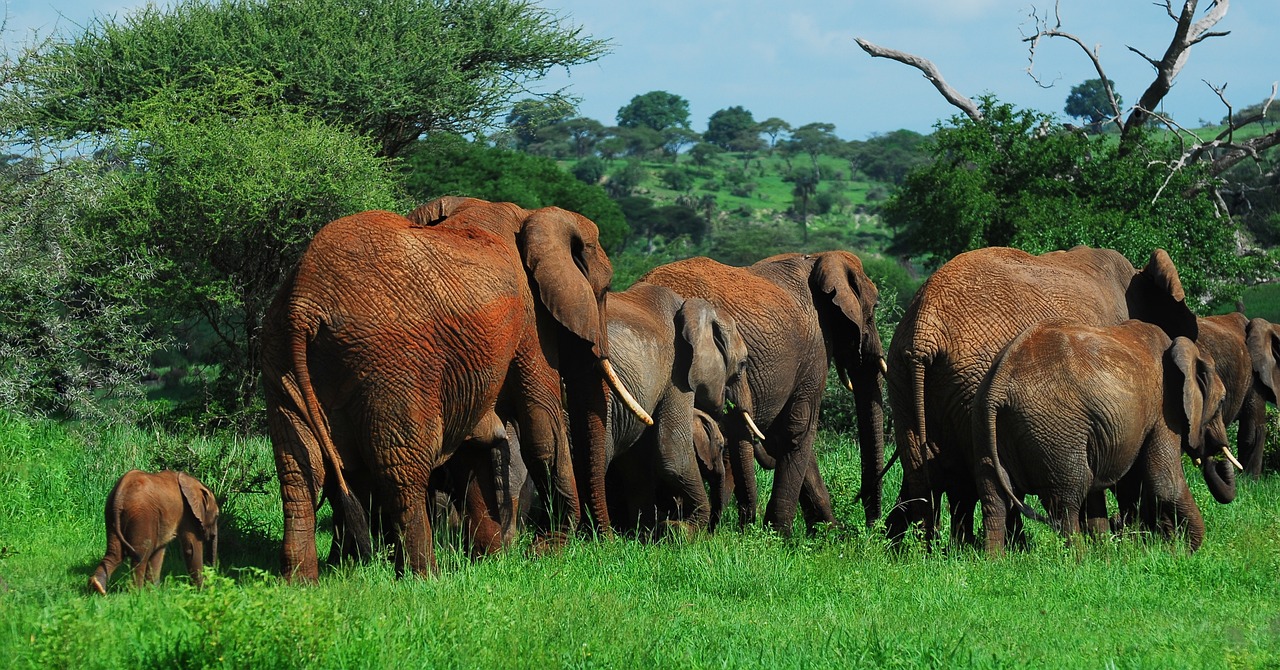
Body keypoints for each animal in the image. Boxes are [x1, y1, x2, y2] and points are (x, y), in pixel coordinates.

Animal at [89, 468, 220, 594]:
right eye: (217, 516)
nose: (213, 572)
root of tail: (119, 496)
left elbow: (159, 551)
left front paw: (154, 592)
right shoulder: (188, 514)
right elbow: (191, 549)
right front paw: (202, 591)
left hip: (110, 513)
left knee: (115, 553)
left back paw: (98, 587)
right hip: (142, 516)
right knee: (141, 554)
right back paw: (136, 593)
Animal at [257, 197, 650, 579]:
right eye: (604, 291)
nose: (608, 544)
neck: (529, 216)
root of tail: (304, 304)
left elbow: (474, 443)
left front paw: (492, 560)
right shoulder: (529, 322)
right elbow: (542, 426)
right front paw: (548, 552)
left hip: (279, 360)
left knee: (298, 471)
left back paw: (301, 582)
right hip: (393, 365)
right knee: (403, 470)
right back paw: (424, 578)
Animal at [599, 283, 747, 535]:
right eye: (744, 364)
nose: (713, 531)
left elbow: (636, 463)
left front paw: (645, 533)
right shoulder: (678, 370)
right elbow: (673, 451)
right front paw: (683, 530)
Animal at [890, 243, 1198, 548]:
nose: (1164, 535)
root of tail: (925, 329)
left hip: (905, 380)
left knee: (929, 476)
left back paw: (926, 549)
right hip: (970, 377)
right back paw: (1007, 546)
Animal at [972, 320, 1233, 555]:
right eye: (1221, 402)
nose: (1214, 455)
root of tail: (999, 382)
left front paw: (1115, 551)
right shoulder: (1164, 410)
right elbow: (1164, 483)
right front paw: (1180, 553)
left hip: (986, 426)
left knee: (994, 499)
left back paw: (995, 561)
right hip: (1057, 428)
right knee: (1067, 498)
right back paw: (1078, 561)